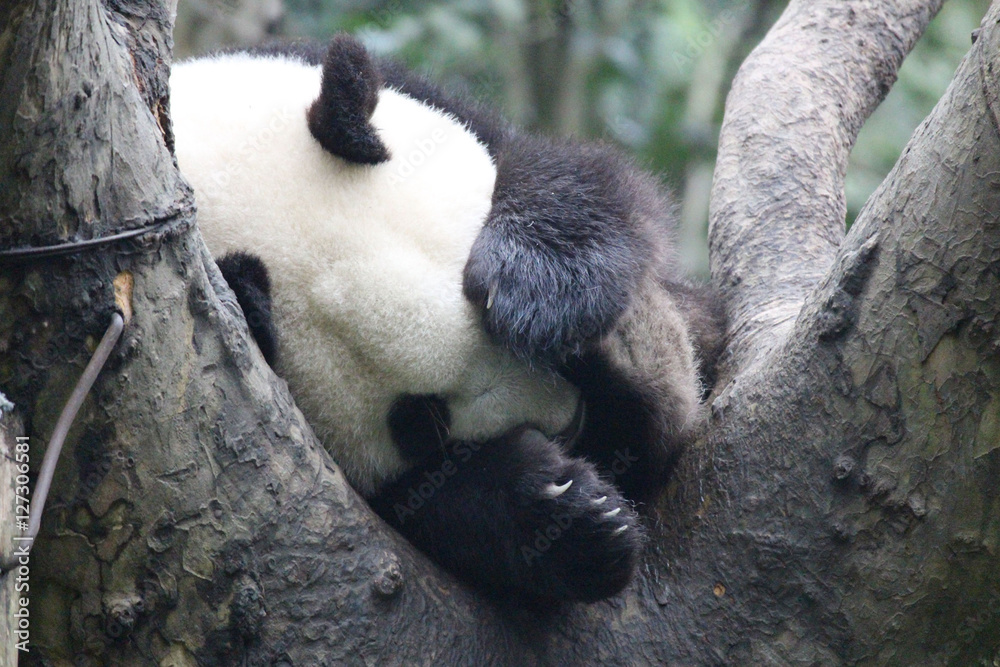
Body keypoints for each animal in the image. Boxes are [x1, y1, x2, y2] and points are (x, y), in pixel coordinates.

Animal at [169, 35, 725, 605]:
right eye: (419, 421)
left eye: (475, 305)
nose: (568, 419)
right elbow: (427, 505)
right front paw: (569, 514)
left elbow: (581, 181)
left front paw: (547, 292)